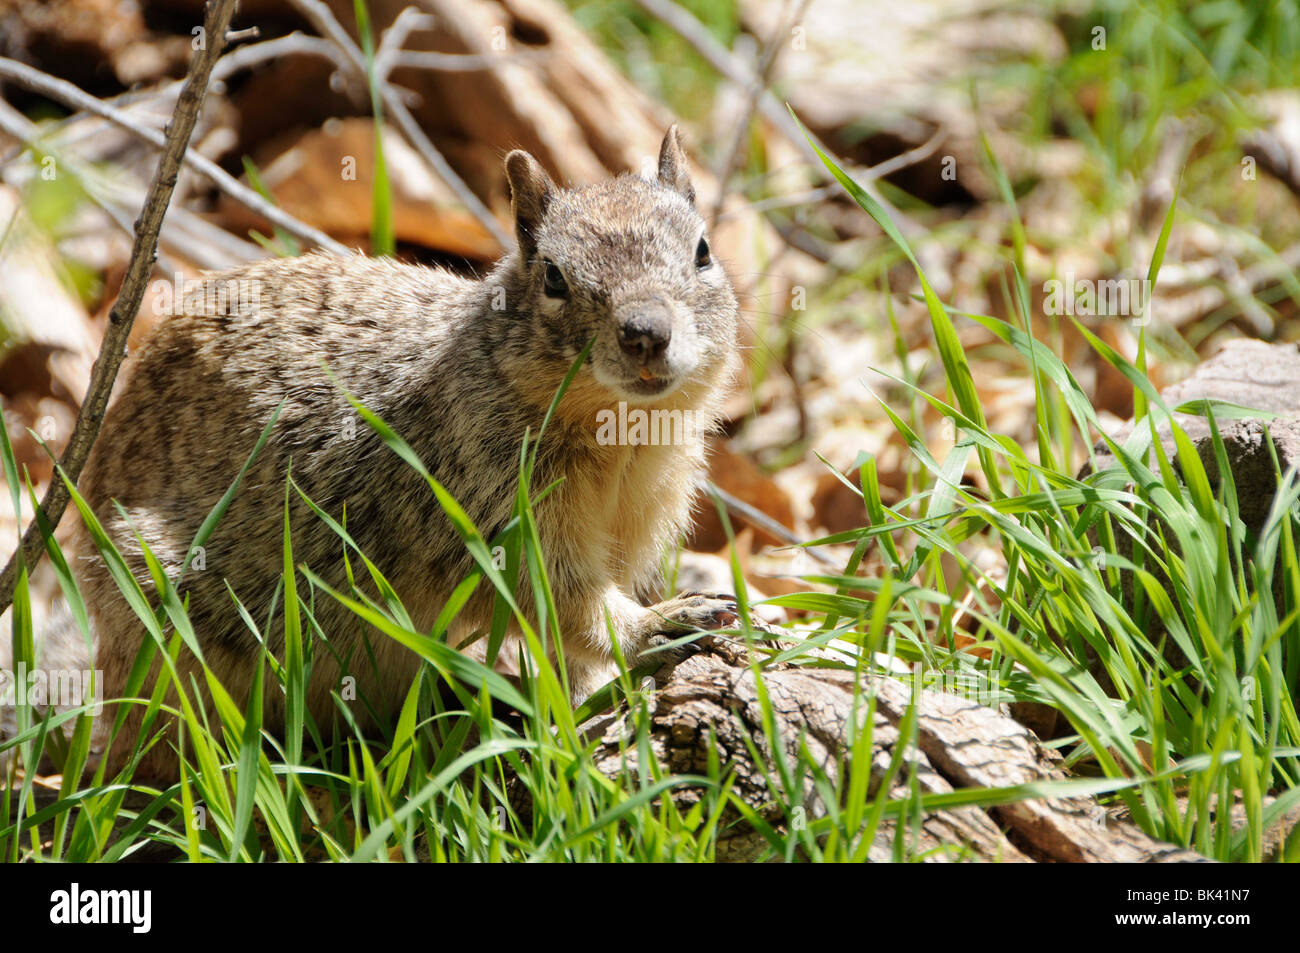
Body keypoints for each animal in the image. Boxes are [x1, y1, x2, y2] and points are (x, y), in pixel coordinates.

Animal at [0, 126, 743, 780]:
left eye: (704, 249)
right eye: (554, 277)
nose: (646, 332)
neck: (622, 437)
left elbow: (575, 647)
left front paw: (590, 695)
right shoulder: (499, 510)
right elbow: (568, 603)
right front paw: (662, 623)